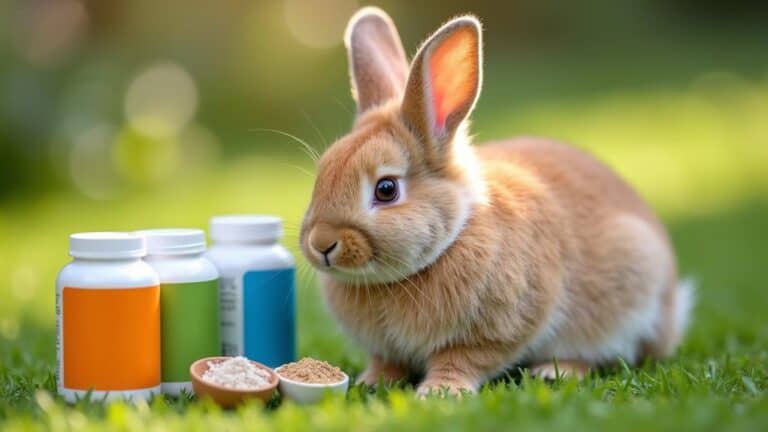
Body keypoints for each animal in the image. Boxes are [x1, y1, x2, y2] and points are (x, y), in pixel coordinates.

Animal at [299, 7, 693, 396]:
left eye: (386, 189)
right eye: (321, 175)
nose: (322, 244)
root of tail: (673, 310)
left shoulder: (498, 329)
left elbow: (462, 359)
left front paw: (441, 391)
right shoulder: (387, 348)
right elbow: (386, 362)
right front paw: (372, 381)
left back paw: (554, 372)